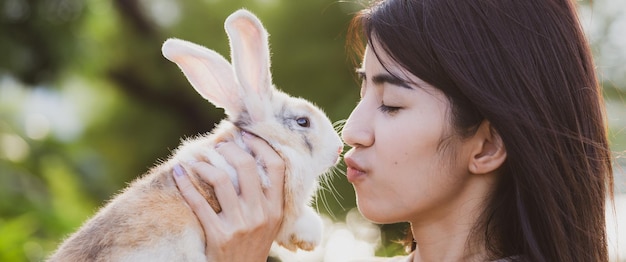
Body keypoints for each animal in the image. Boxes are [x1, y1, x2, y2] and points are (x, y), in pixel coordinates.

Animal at [47, 9, 342, 260]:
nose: (339, 149)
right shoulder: (285, 205)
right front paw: (310, 237)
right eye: (303, 121)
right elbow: (297, 220)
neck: (274, 144)